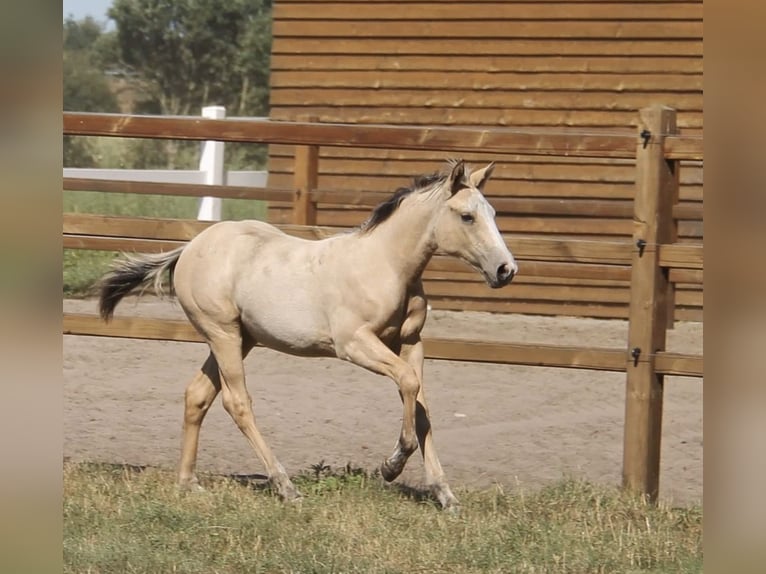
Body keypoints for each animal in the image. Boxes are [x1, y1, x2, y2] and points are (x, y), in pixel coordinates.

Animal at [98, 158, 517, 510]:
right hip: (223, 334)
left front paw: (445, 495)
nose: (506, 270)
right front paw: (391, 465)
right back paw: (285, 486)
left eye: (493, 213)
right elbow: (410, 387)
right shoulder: (354, 344)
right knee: (237, 402)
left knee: (197, 395)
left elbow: (421, 407)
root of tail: (189, 248)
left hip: (242, 338)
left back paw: (188, 483)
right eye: (466, 216)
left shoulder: (410, 343)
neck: (385, 265)